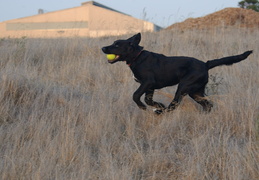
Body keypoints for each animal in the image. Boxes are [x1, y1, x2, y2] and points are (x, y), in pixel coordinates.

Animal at [102, 33, 253, 114]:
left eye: (117, 45)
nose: (103, 48)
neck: (137, 57)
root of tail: (205, 64)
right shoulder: (150, 87)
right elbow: (148, 99)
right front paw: (158, 105)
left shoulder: (147, 82)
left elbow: (135, 95)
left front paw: (145, 107)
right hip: (195, 91)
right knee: (208, 104)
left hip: (183, 87)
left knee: (174, 105)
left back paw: (160, 112)